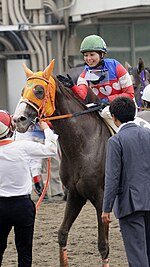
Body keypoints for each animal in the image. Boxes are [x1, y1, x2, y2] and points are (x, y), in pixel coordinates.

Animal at [12, 60, 110, 267]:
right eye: (23, 90)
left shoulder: (101, 198)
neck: (85, 144)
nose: (18, 120)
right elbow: (62, 234)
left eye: (39, 90)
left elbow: (103, 245)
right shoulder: (75, 194)